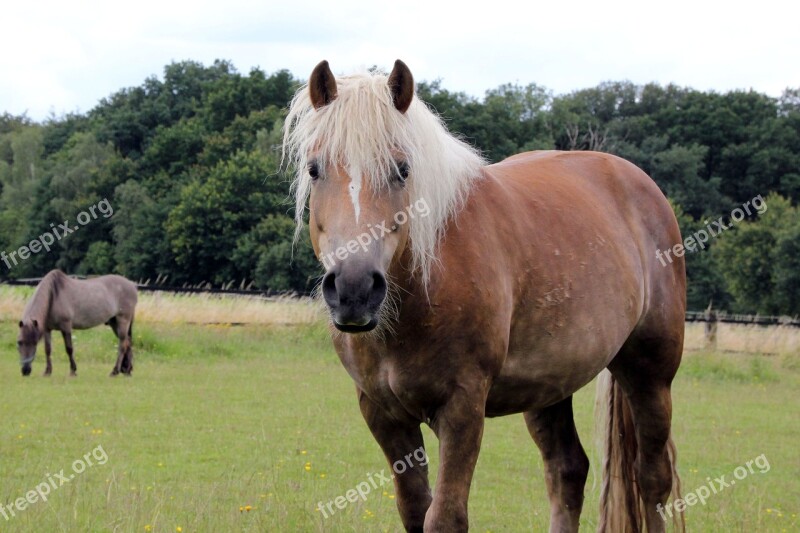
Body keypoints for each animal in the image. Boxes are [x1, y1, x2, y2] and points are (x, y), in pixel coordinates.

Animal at [282, 60, 688, 528]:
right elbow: (414, 510)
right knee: (567, 470)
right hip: (549, 386)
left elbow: (444, 516)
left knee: (651, 479)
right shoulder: (382, 413)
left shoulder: (462, 408)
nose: (354, 288)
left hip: (650, 372)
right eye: (314, 169)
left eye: (403, 169)